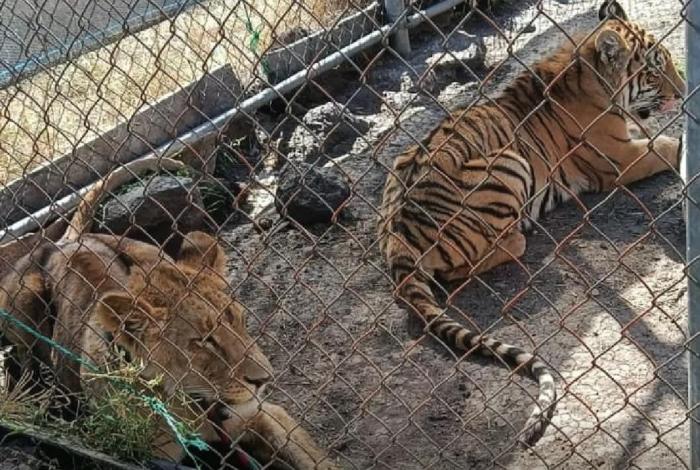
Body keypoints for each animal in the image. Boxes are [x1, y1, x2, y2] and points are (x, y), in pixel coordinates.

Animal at [377, 0, 684, 445]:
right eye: (655, 70)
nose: (682, 91)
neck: (587, 70)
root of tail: (398, 236)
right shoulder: (620, 159)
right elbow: (670, 145)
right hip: (509, 164)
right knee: (475, 261)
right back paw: (522, 232)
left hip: (402, 163)